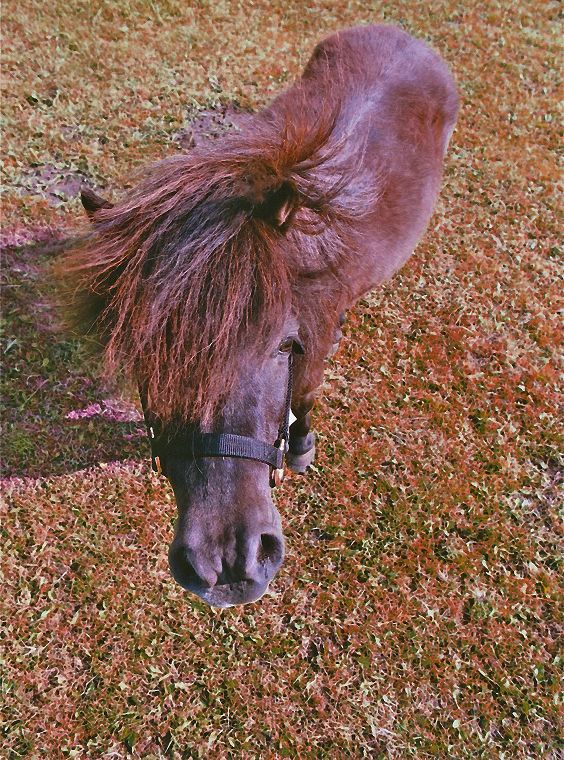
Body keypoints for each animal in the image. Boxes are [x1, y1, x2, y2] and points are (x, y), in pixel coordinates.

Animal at [60, 25, 458, 604]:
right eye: (144, 356)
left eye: (282, 344)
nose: (228, 564)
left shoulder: (314, 336)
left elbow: (306, 393)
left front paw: (301, 447)